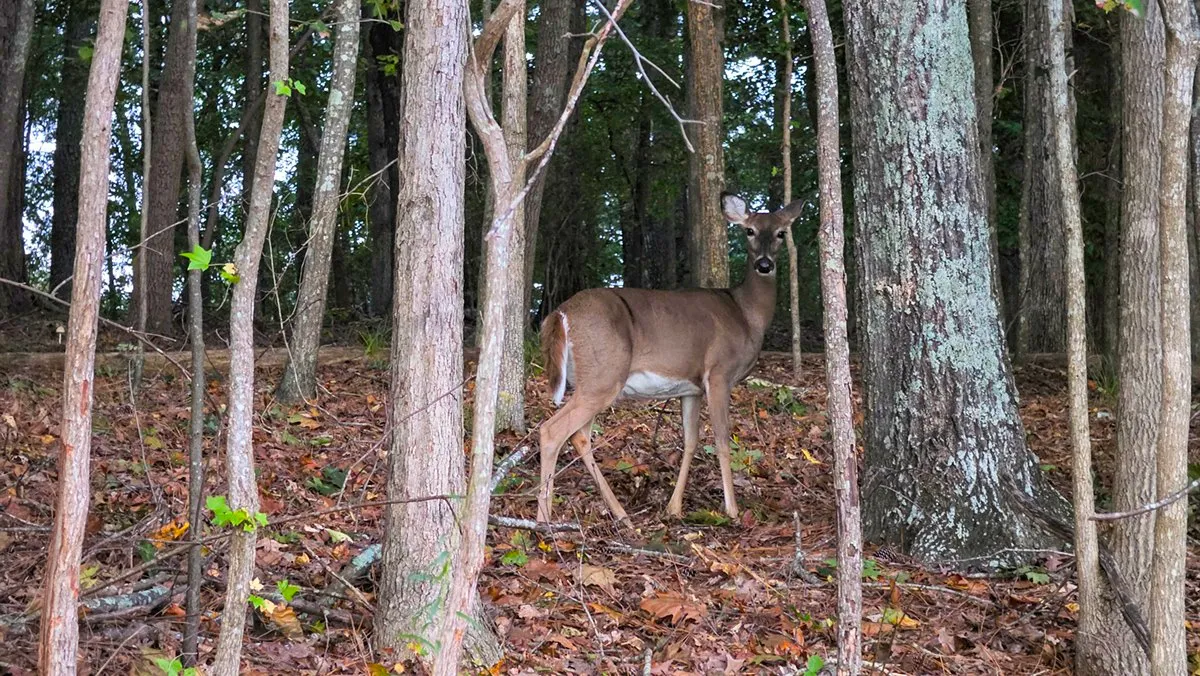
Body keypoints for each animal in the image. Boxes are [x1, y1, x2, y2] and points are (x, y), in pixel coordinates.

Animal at [535, 193, 806, 525]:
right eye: (750, 231)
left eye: (781, 233)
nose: (764, 264)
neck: (745, 315)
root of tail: (559, 315)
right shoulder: (719, 372)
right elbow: (722, 439)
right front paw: (731, 509)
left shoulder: (691, 389)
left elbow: (690, 440)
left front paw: (674, 507)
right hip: (603, 375)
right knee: (552, 431)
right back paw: (543, 520)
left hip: (589, 380)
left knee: (579, 436)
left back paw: (621, 515)